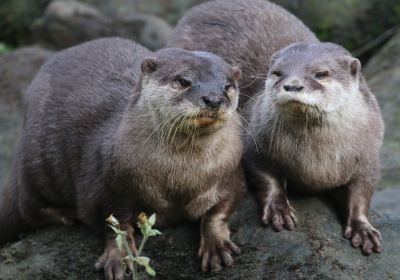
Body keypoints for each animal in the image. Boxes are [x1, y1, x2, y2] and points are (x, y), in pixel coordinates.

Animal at [0, 37, 244, 278]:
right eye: (183, 80)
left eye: (227, 86)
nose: (213, 99)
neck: (181, 177)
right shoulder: (108, 186)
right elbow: (114, 224)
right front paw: (119, 256)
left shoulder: (231, 173)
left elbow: (220, 210)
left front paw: (216, 244)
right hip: (35, 162)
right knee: (28, 206)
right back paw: (66, 215)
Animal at [244, 42, 384, 256]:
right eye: (277, 72)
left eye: (319, 74)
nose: (292, 85)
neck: (316, 161)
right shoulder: (254, 140)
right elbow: (266, 177)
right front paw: (278, 209)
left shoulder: (369, 158)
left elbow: (362, 192)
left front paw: (363, 229)